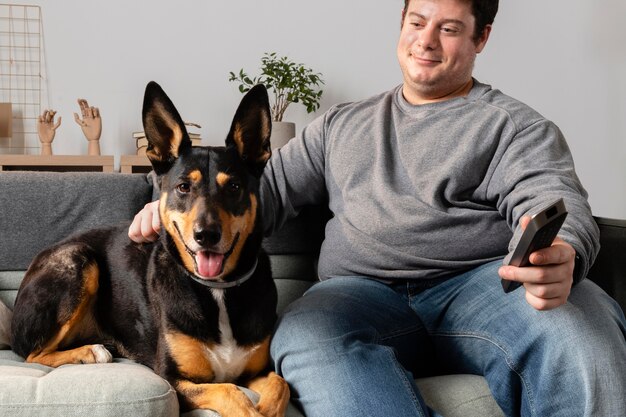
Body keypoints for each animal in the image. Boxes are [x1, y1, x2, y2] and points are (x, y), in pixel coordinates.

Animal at [10, 80, 288, 416]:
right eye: (183, 187)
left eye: (234, 187)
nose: (206, 235)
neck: (217, 289)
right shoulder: (172, 378)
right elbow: (230, 392)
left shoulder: (257, 370)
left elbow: (279, 384)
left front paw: (269, 408)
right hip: (79, 260)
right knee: (32, 354)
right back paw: (90, 352)